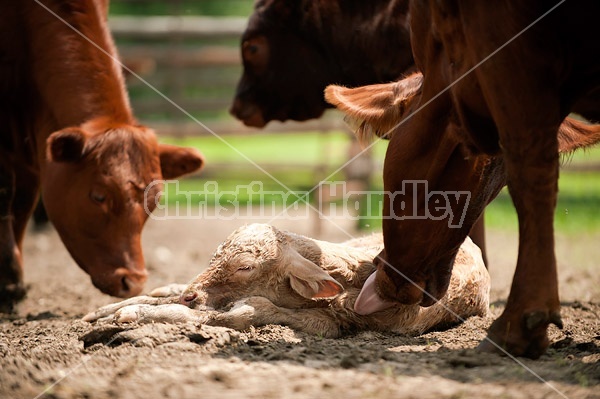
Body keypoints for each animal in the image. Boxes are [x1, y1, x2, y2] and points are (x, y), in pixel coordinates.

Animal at [83, 225, 488, 338]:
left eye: (245, 267)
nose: (192, 294)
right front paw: (113, 313)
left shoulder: (330, 323)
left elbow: (243, 311)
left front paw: (132, 317)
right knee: (166, 289)